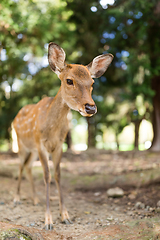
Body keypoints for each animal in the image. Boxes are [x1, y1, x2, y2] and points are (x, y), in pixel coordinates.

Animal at [12, 42, 114, 230]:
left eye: (92, 82)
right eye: (69, 80)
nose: (91, 108)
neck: (51, 130)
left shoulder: (59, 145)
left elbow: (58, 175)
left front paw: (65, 216)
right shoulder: (41, 144)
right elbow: (47, 176)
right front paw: (48, 220)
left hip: (32, 150)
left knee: (28, 167)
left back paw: (35, 200)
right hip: (22, 144)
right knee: (21, 165)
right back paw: (16, 199)